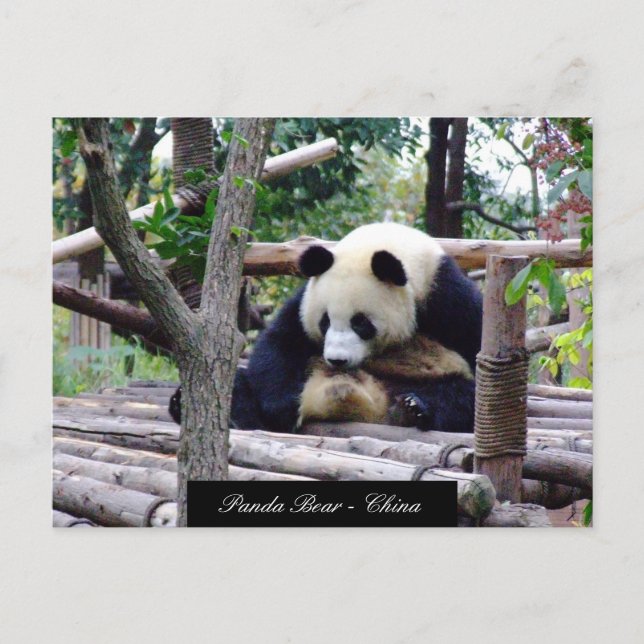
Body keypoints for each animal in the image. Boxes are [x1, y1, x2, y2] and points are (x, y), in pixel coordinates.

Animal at [169, 222, 483, 433]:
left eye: (361, 323)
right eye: (325, 321)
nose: (336, 360)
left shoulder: (445, 297)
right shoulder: (305, 298)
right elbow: (281, 343)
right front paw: (283, 406)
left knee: (456, 395)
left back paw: (411, 409)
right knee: (236, 384)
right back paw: (192, 406)